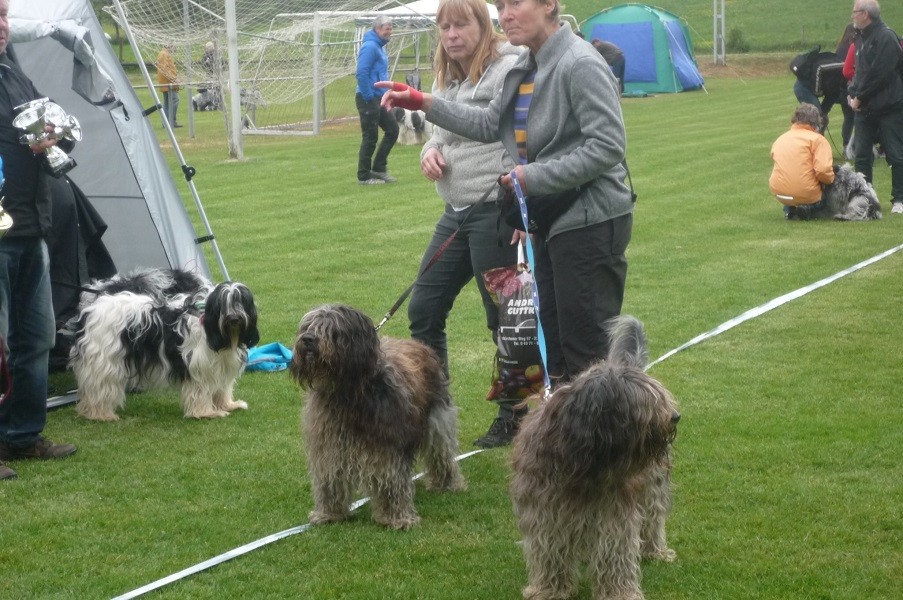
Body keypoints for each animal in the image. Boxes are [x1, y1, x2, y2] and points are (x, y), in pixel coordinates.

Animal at [292, 304, 466, 528]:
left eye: (332, 330)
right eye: (307, 326)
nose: (307, 339)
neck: (347, 395)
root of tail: (421, 347)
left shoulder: (387, 447)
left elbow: (391, 480)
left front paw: (397, 517)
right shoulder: (329, 445)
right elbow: (329, 479)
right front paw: (329, 513)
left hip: (438, 422)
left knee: (442, 454)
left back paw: (447, 484)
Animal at [508, 316, 680, 596]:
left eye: (659, 397)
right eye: (646, 403)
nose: (675, 416)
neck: (583, 460)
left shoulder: (614, 510)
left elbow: (615, 552)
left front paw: (620, 593)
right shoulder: (545, 508)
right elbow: (549, 550)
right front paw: (550, 590)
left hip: (653, 483)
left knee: (653, 516)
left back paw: (655, 550)